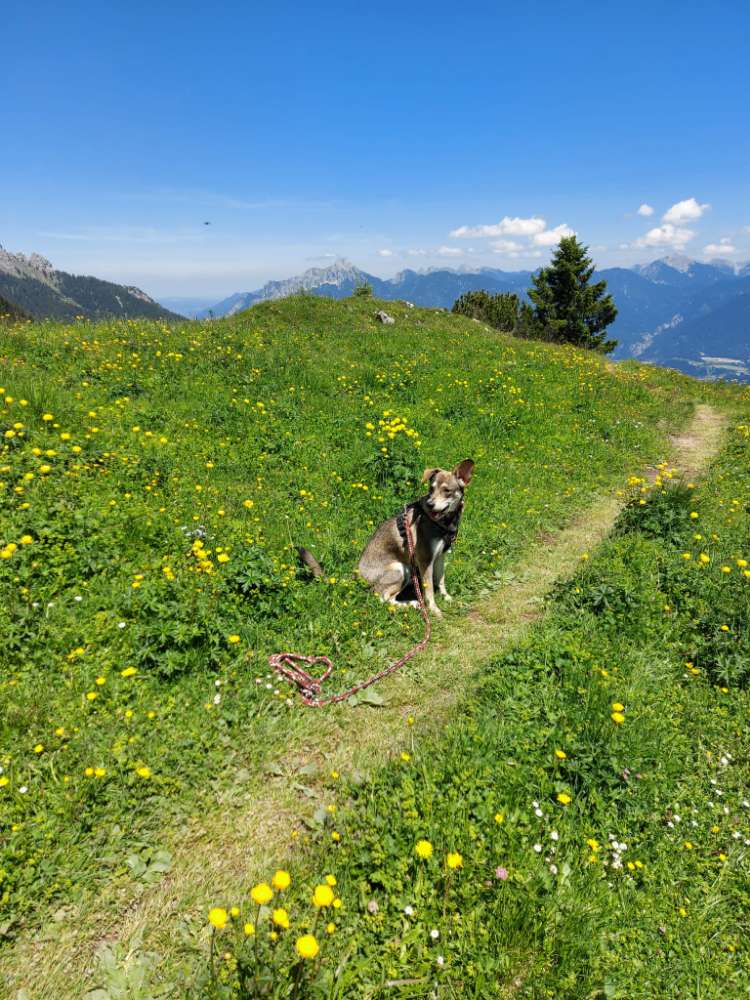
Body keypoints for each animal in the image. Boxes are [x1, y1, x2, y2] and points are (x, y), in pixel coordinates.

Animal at [358, 460, 476, 616]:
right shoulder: (425, 560)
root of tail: (357, 576)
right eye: (431, 489)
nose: (430, 504)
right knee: (383, 598)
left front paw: (447, 597)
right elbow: (429, 589)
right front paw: (434, 609)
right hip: (401, 568)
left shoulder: (440, 556)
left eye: (447, 491)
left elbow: (441, 580)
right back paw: (411, 604)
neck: (444, 522)